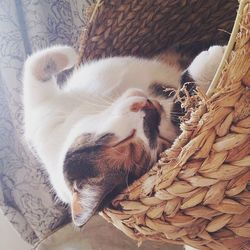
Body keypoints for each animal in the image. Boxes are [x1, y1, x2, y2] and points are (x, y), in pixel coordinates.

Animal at [22, 44, 225, 227]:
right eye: (158, 140)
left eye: (121, 141)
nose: (152, 115)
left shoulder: (43, 115)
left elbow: (32, 67)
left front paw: (68, 55)